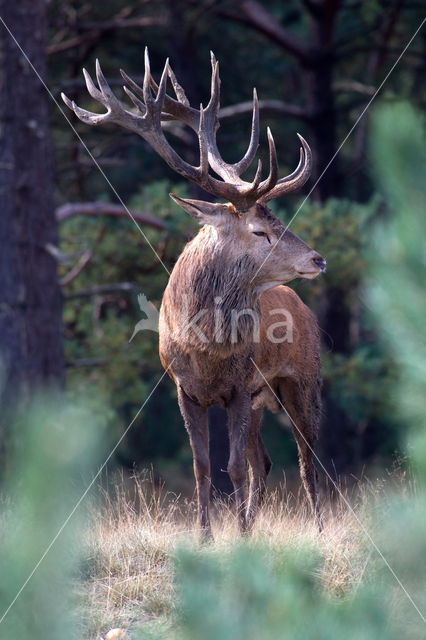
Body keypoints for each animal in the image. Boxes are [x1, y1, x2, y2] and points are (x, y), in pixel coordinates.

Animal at [63, 48, 328, 540]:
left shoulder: (240, 387)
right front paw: (206, 535)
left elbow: (233, 467)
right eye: (260, 230)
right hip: (264, 399)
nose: (318, 259)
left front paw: (238, 535)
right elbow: (203, 465)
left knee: (306, 460)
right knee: (265, 461)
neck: (205, 350)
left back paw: (318, 530)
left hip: (302, 379)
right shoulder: (185, 389)